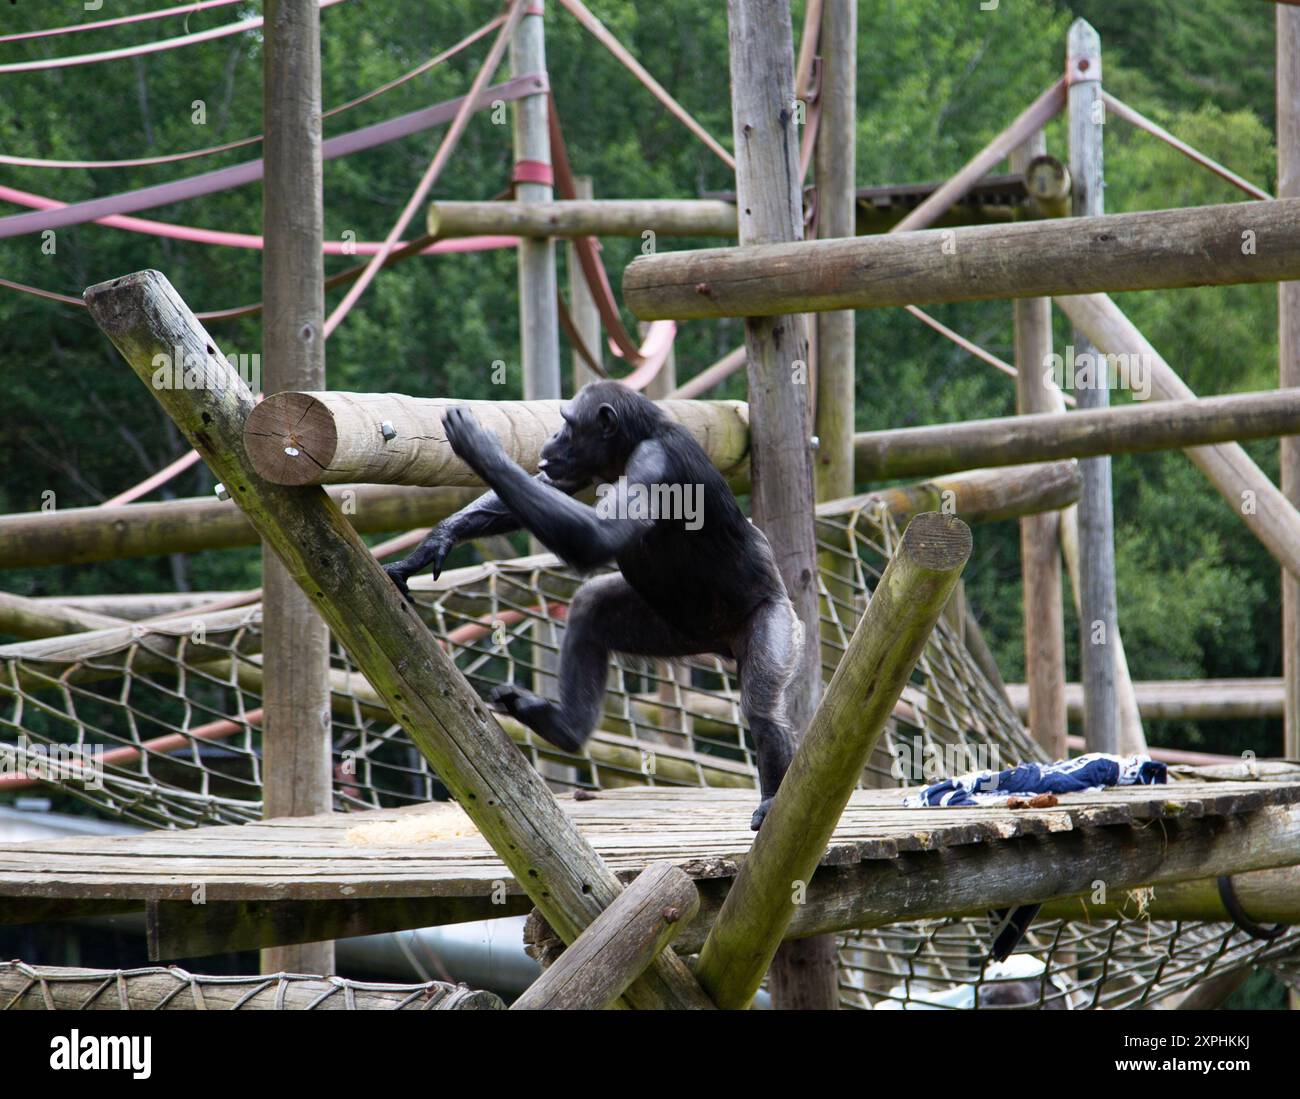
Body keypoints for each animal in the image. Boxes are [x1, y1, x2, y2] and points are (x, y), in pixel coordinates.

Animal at [382, 382, 800, 827]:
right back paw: (564, 727)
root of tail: (722, 645)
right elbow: (547, 487)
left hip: (776, 623)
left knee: (763, 710)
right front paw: (436, 540)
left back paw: (772, 800)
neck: (634, 441)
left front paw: (480, 448)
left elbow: (598, 534)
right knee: (590, 607)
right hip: (673, 629)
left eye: (567, 423)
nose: (552, 435)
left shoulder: (654, 466)